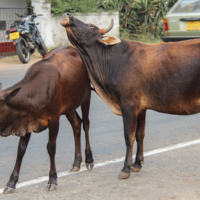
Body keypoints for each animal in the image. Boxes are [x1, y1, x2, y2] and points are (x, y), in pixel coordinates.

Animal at [0, 45, 94, 194]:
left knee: (85, 124)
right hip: (69, 107)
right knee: (76, 125)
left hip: (86, 96)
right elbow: (21, 150)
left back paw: (89, 159)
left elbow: (51, 147)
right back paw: (76, 163)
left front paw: (52, 180)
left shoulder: (54, 119)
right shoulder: (27, 122)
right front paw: (11, 182)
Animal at [60, 13, 200, 180]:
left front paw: (125, 168)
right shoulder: (141, 108)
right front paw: (137, 164)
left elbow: (129, 136)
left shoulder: (128, 104)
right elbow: (140, 134)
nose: (67, 15)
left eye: (91, 27)